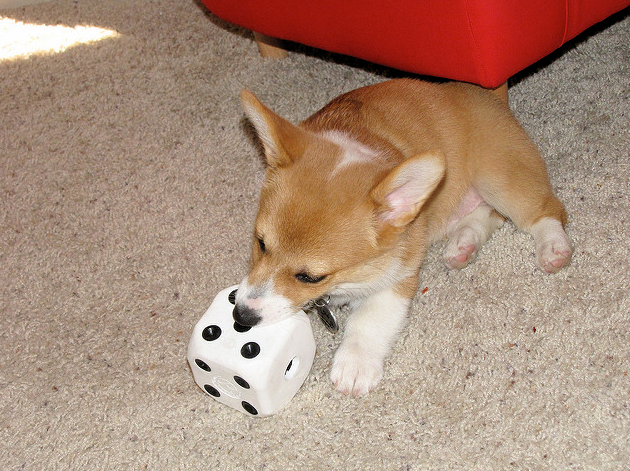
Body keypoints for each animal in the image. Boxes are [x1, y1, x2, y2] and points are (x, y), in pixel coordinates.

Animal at [235, 79, 576, 396]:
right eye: (260, 243)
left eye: (310, 277)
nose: (241, 316)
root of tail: (486, 97)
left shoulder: (401, 275)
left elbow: (370, 319)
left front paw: (355, 365)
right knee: (488, 215)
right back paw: (462, 245)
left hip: (500, 179)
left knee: (544, 211)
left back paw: (554, 248)